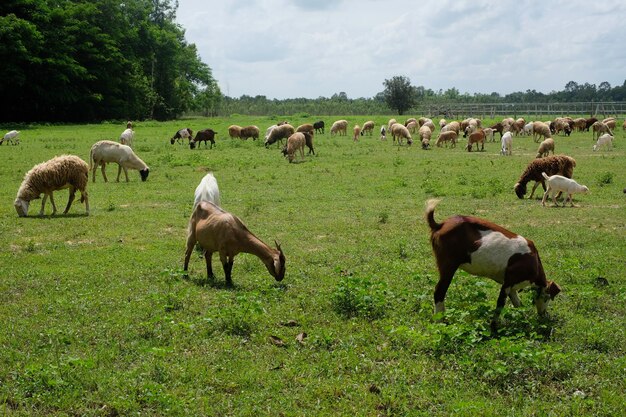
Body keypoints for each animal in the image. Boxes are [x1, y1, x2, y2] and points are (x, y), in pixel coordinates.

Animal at [422, 200, 560, 326]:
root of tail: (441, 225)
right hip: (448, 265)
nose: (543, 314)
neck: (534, 261)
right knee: (439, 291)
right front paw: (494, 326)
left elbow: (517, 303)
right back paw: (440, 321)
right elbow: (500, 303)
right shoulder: (509, 281)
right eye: (547, 297)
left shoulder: (511, 285)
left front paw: (523, 319)